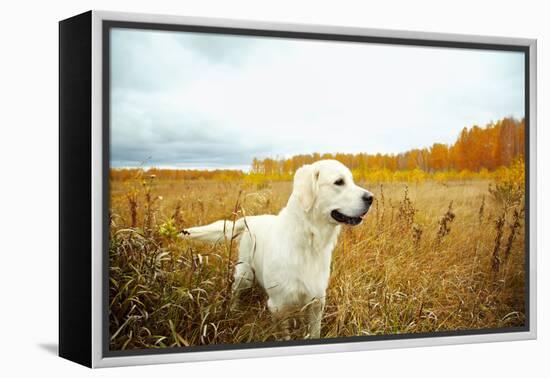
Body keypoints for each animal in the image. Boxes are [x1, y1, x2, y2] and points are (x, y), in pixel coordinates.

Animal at [181, 159, 376, 340]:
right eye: (339, 182)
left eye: (351, 180)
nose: (371, 198)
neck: (308, 242)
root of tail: (249, 220)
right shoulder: (278, 306)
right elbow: (285, 334)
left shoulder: (317, 301)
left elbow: (314, 332)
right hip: (245, 274)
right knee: (235, 290)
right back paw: (233, 309)